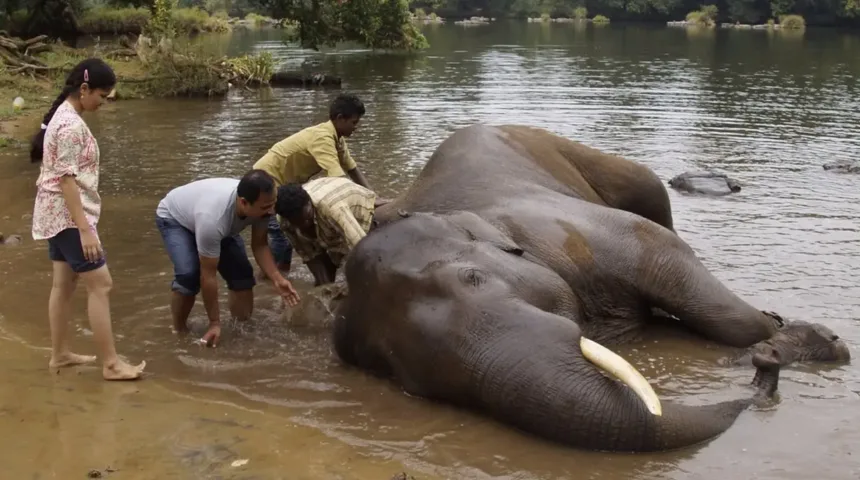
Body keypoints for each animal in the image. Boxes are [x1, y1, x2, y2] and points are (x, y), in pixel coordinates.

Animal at [330, 124, 850, 453]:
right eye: (396, 371)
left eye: (472, 278)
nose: (766, 371)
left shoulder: (582, 231)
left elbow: (675, 268)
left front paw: (804, 340)